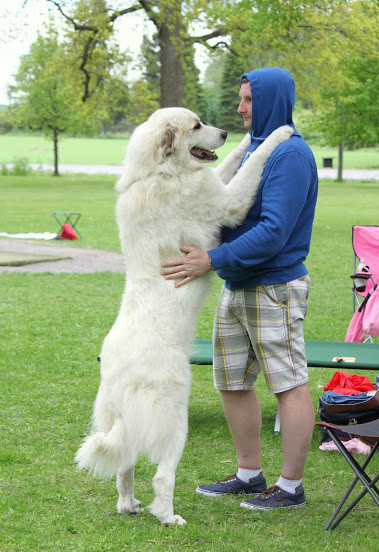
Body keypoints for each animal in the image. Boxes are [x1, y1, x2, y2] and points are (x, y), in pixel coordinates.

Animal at [75, 105, 294, 524]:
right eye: (196, 126)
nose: (223, 131)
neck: (157, 171)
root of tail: (120, 378)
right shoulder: (227, 199)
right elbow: (252, 163)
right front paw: (280, 132)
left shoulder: (216, 182)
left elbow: (231, 161)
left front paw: (248, 136)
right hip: (176, 420)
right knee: (162, 476)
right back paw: (166, 515)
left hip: (117, 420)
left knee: (125, 466)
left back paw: (129, 505)